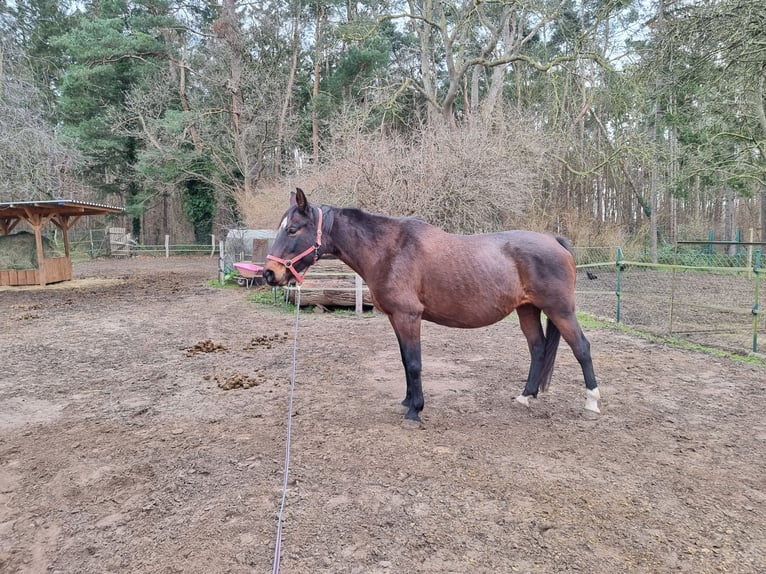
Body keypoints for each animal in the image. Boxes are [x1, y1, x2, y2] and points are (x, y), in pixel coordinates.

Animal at [268, 189, 604, 424]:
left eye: (293, 229)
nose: (270, 273)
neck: (390, 250)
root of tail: (556, 240)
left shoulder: (409, 316)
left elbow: (415, 362)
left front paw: (415, 411)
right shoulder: (396, 318)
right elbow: (405, 361)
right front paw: (407, 401)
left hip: (561, 311)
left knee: (582, 347)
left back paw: (592, 401)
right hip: (528, 309)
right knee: (537, 348)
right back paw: (525, 397)